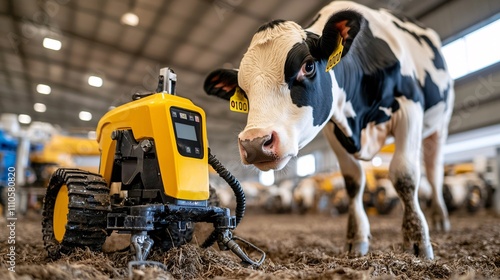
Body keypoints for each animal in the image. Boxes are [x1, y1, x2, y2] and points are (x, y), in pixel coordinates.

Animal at [205, 0, 456, 260]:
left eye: (308, 66)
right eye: (243, 91)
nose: (254, 143)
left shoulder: (410, 107)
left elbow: (404, 174)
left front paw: (417, 240)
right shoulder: (333, 128)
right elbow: (353, 182)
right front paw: (356, 238)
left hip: (440, 124)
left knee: (434, 171)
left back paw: (439, 219)